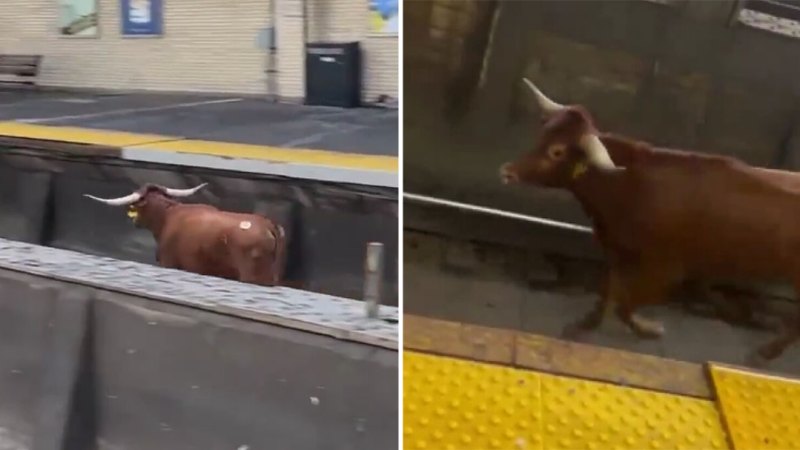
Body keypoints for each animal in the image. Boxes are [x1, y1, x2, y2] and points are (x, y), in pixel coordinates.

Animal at [504, 77, 800, 366]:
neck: (628, 185)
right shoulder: (619, 254)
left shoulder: (665, 270)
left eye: (557, 152)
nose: (507, 172)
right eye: (542, 135)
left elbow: (624, 304)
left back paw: (765, 352)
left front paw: (649, 329)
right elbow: (608, 293)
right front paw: (585, 324)